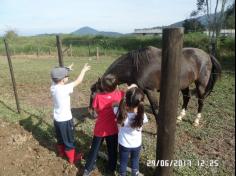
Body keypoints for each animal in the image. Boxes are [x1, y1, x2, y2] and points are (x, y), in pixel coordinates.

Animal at [89, 46, 221, 126]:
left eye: (95, 95)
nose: (91, 112)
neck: (136, 66)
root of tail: (207, 55)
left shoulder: (150, 90)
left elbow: (155, 108)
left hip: (201, 84)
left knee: (201, 101)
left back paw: (196, 120)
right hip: (184, 84)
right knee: (186, 98)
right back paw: (180, 117)